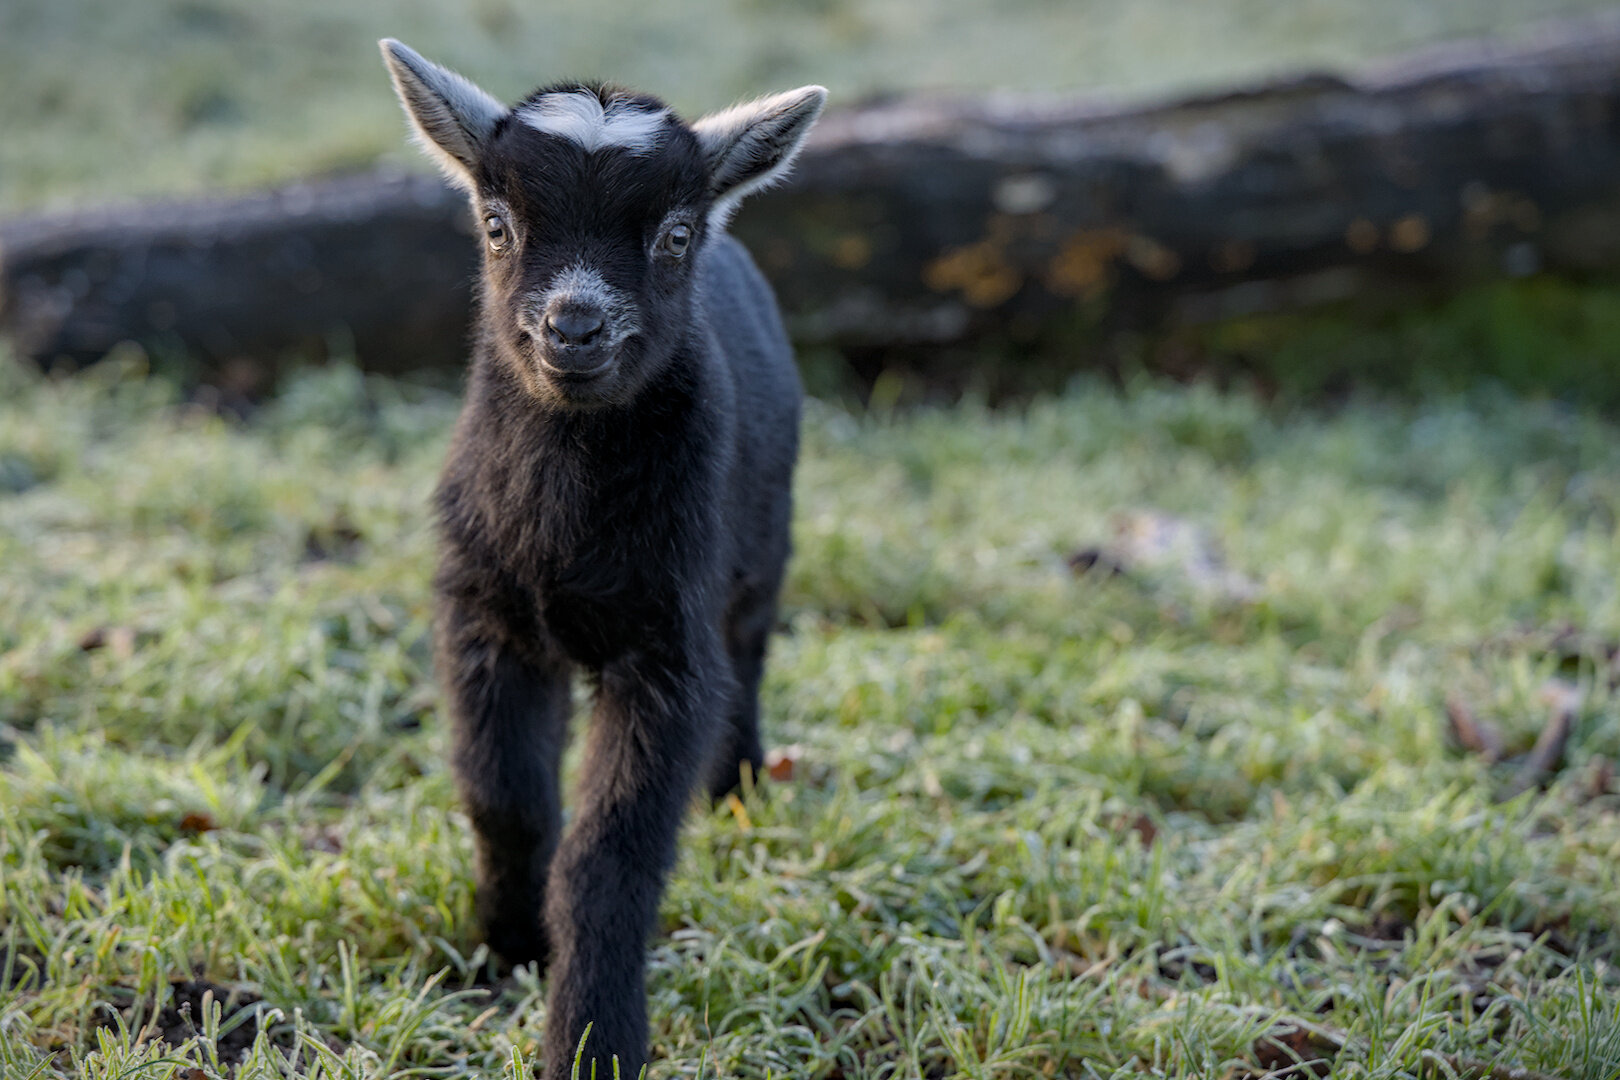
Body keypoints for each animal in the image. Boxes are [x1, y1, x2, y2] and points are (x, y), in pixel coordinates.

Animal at [379, 39, 825, 1080]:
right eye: (497, 225)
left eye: (673, 235)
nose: (574, 328)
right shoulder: (485, 616)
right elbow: (505, 800)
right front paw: (510, 950)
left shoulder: (666, 656)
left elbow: (609, 857)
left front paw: (592, 1039)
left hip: (762, 547)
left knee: (749, 661)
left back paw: (741, 790)